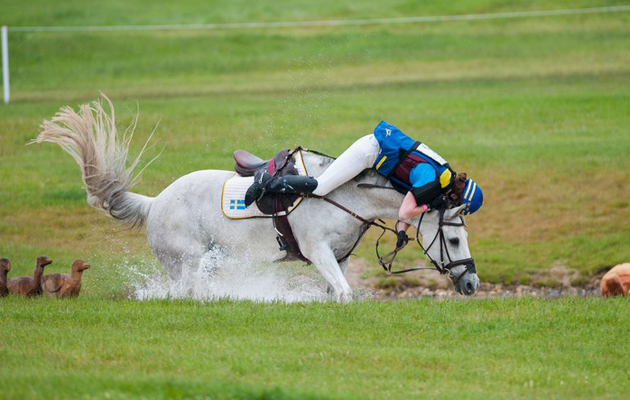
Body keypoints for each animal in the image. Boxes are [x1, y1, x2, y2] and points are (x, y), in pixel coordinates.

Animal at [34, 97, 482, 302]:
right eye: (454, 239)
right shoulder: (317, 250)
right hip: (186, 261)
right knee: (185, 292)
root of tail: (155, 201)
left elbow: (337, 292)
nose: (472, 283)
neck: (353, 198)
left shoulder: (338, 258)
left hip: (212, 258)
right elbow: (344, 293)